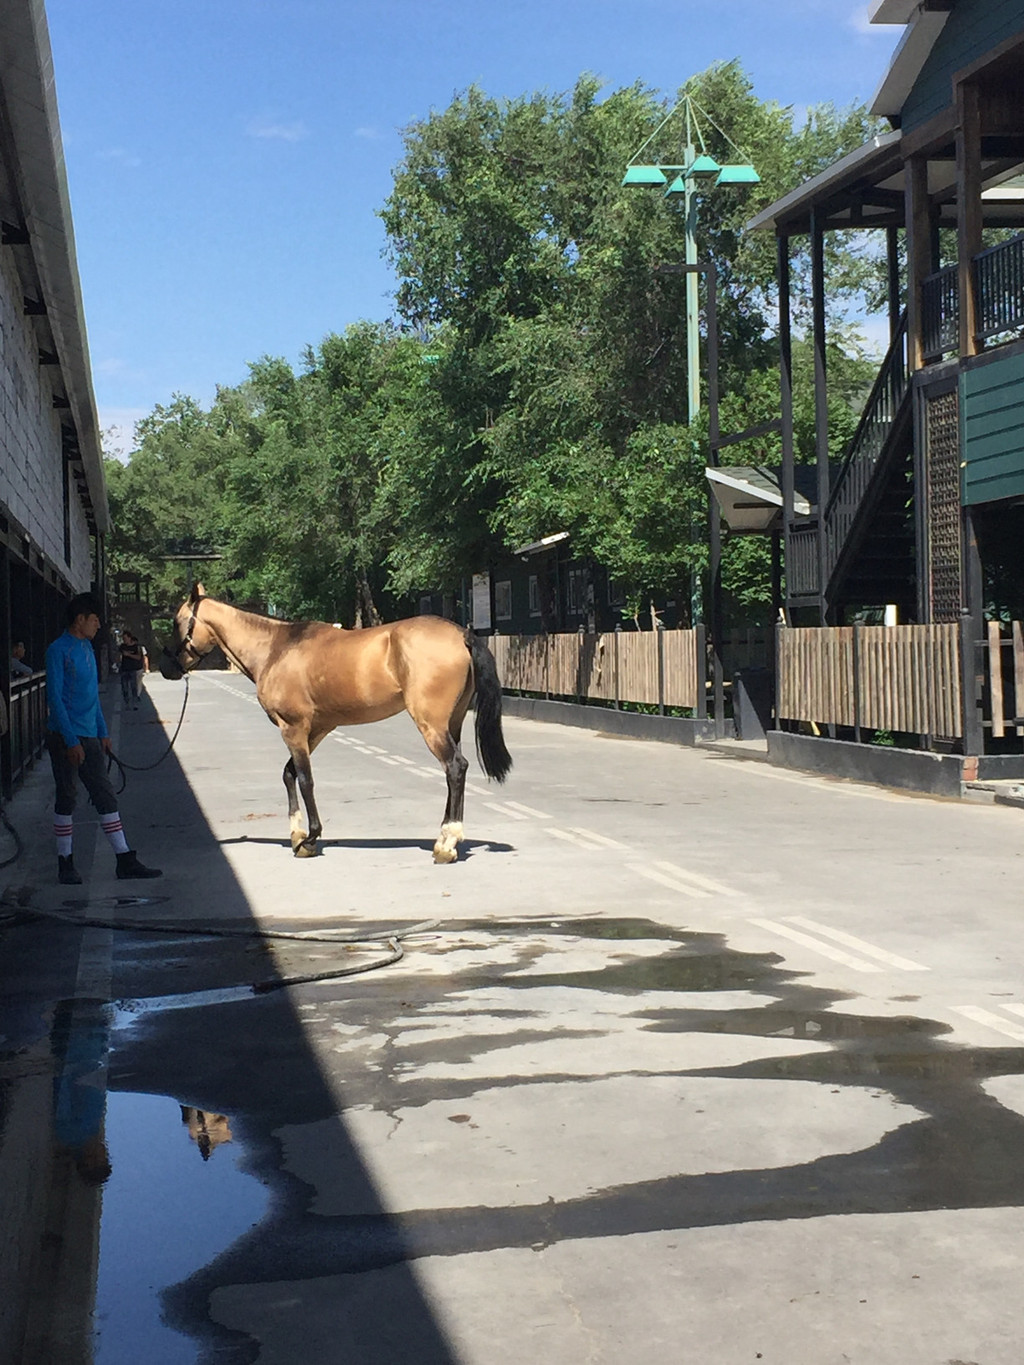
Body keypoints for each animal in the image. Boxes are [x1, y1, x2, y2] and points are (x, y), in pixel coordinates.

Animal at [161, 584, 513, 862]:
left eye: (177, 622)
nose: (167, 667)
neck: (276, 649)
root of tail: (462, 633)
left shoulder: (294, 728)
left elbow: (305, 779)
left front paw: (309, 839)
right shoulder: (316, 729)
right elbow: (289, 774)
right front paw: (296, 834)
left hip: (431, 725)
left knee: (455, 767)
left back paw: (448, 844)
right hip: (451, 723)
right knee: (453, 773)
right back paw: (442, 839)